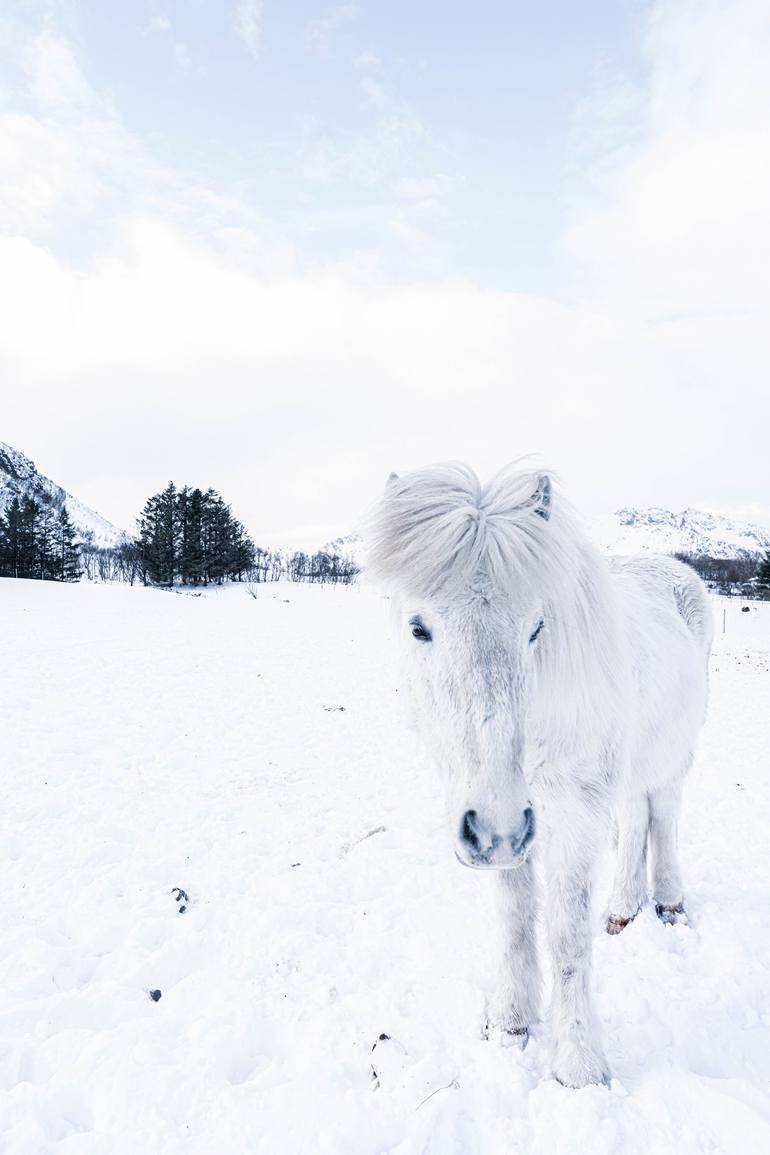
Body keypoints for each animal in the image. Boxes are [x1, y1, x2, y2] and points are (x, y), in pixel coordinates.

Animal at [364, 464, 715, 1085]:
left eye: (537, 628)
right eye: (418, 628)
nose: (498, 823)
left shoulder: (572, 814)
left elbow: (567, 935)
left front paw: (578, 1066)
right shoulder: (503, 827)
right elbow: (515, 917)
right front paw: (511, 1021)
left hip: (674, 752)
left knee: (665, 813)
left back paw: (669, 903)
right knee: (636, 818)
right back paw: (623, 909)